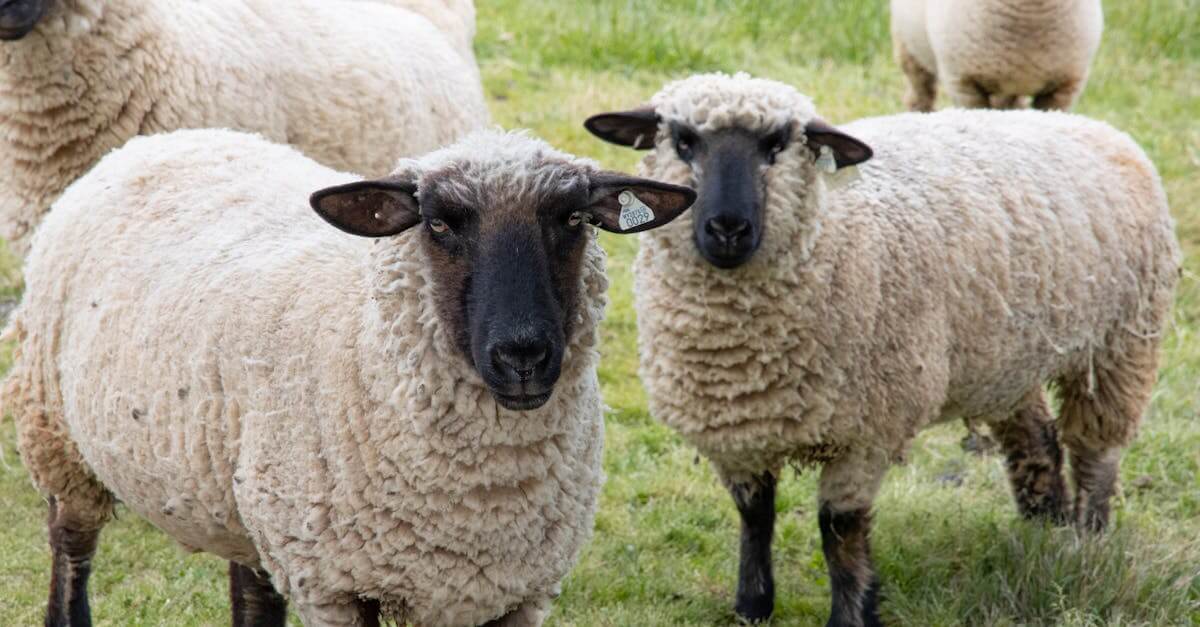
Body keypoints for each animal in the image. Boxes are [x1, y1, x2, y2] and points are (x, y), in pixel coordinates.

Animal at [3, 128, 696, 627]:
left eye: (573, 220)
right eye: (438, 223)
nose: (522, 355)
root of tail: (161, 139)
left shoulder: (516, 592)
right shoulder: (335, 587)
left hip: (250, 501)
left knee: (251, 593)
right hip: (57, 436)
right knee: (71, 553)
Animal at [584, 72, 1179, 626]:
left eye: (778, 144)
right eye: (683, 141)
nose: (727, 229)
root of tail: (1089, 125)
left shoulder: (869, 429)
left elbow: (839, 531)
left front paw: (852, 613)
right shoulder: (735, 426)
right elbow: (754, 515)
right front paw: (752, 606)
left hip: (1121, 342)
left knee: (1096, 451)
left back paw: (1088, 540)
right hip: (1007, 359)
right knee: (1039, 441)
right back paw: (1044, 530)